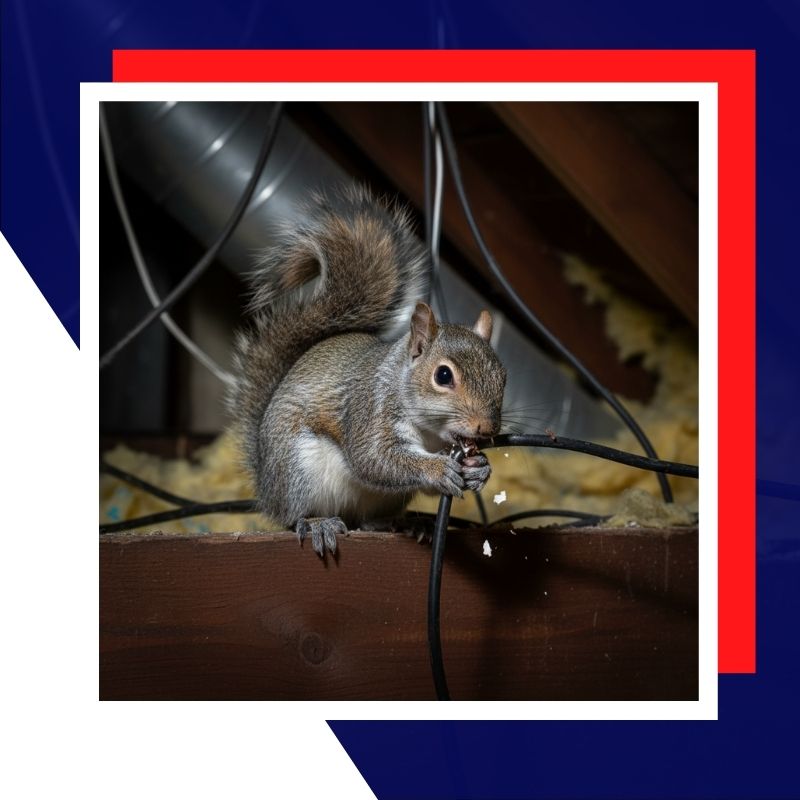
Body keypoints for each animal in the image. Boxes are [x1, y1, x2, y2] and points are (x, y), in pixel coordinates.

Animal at [230, 185, 506, 557]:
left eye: (503, 376)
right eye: (443, 376)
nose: (486, 428)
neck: (431, 433)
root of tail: (266, 485)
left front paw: (479, 469)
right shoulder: (369, 409)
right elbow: (374, 459)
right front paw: (437, 467)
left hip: (383, 500)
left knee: (368, 521)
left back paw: (405, 524)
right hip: (297, 472)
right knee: (292, 517)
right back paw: (316, 523)